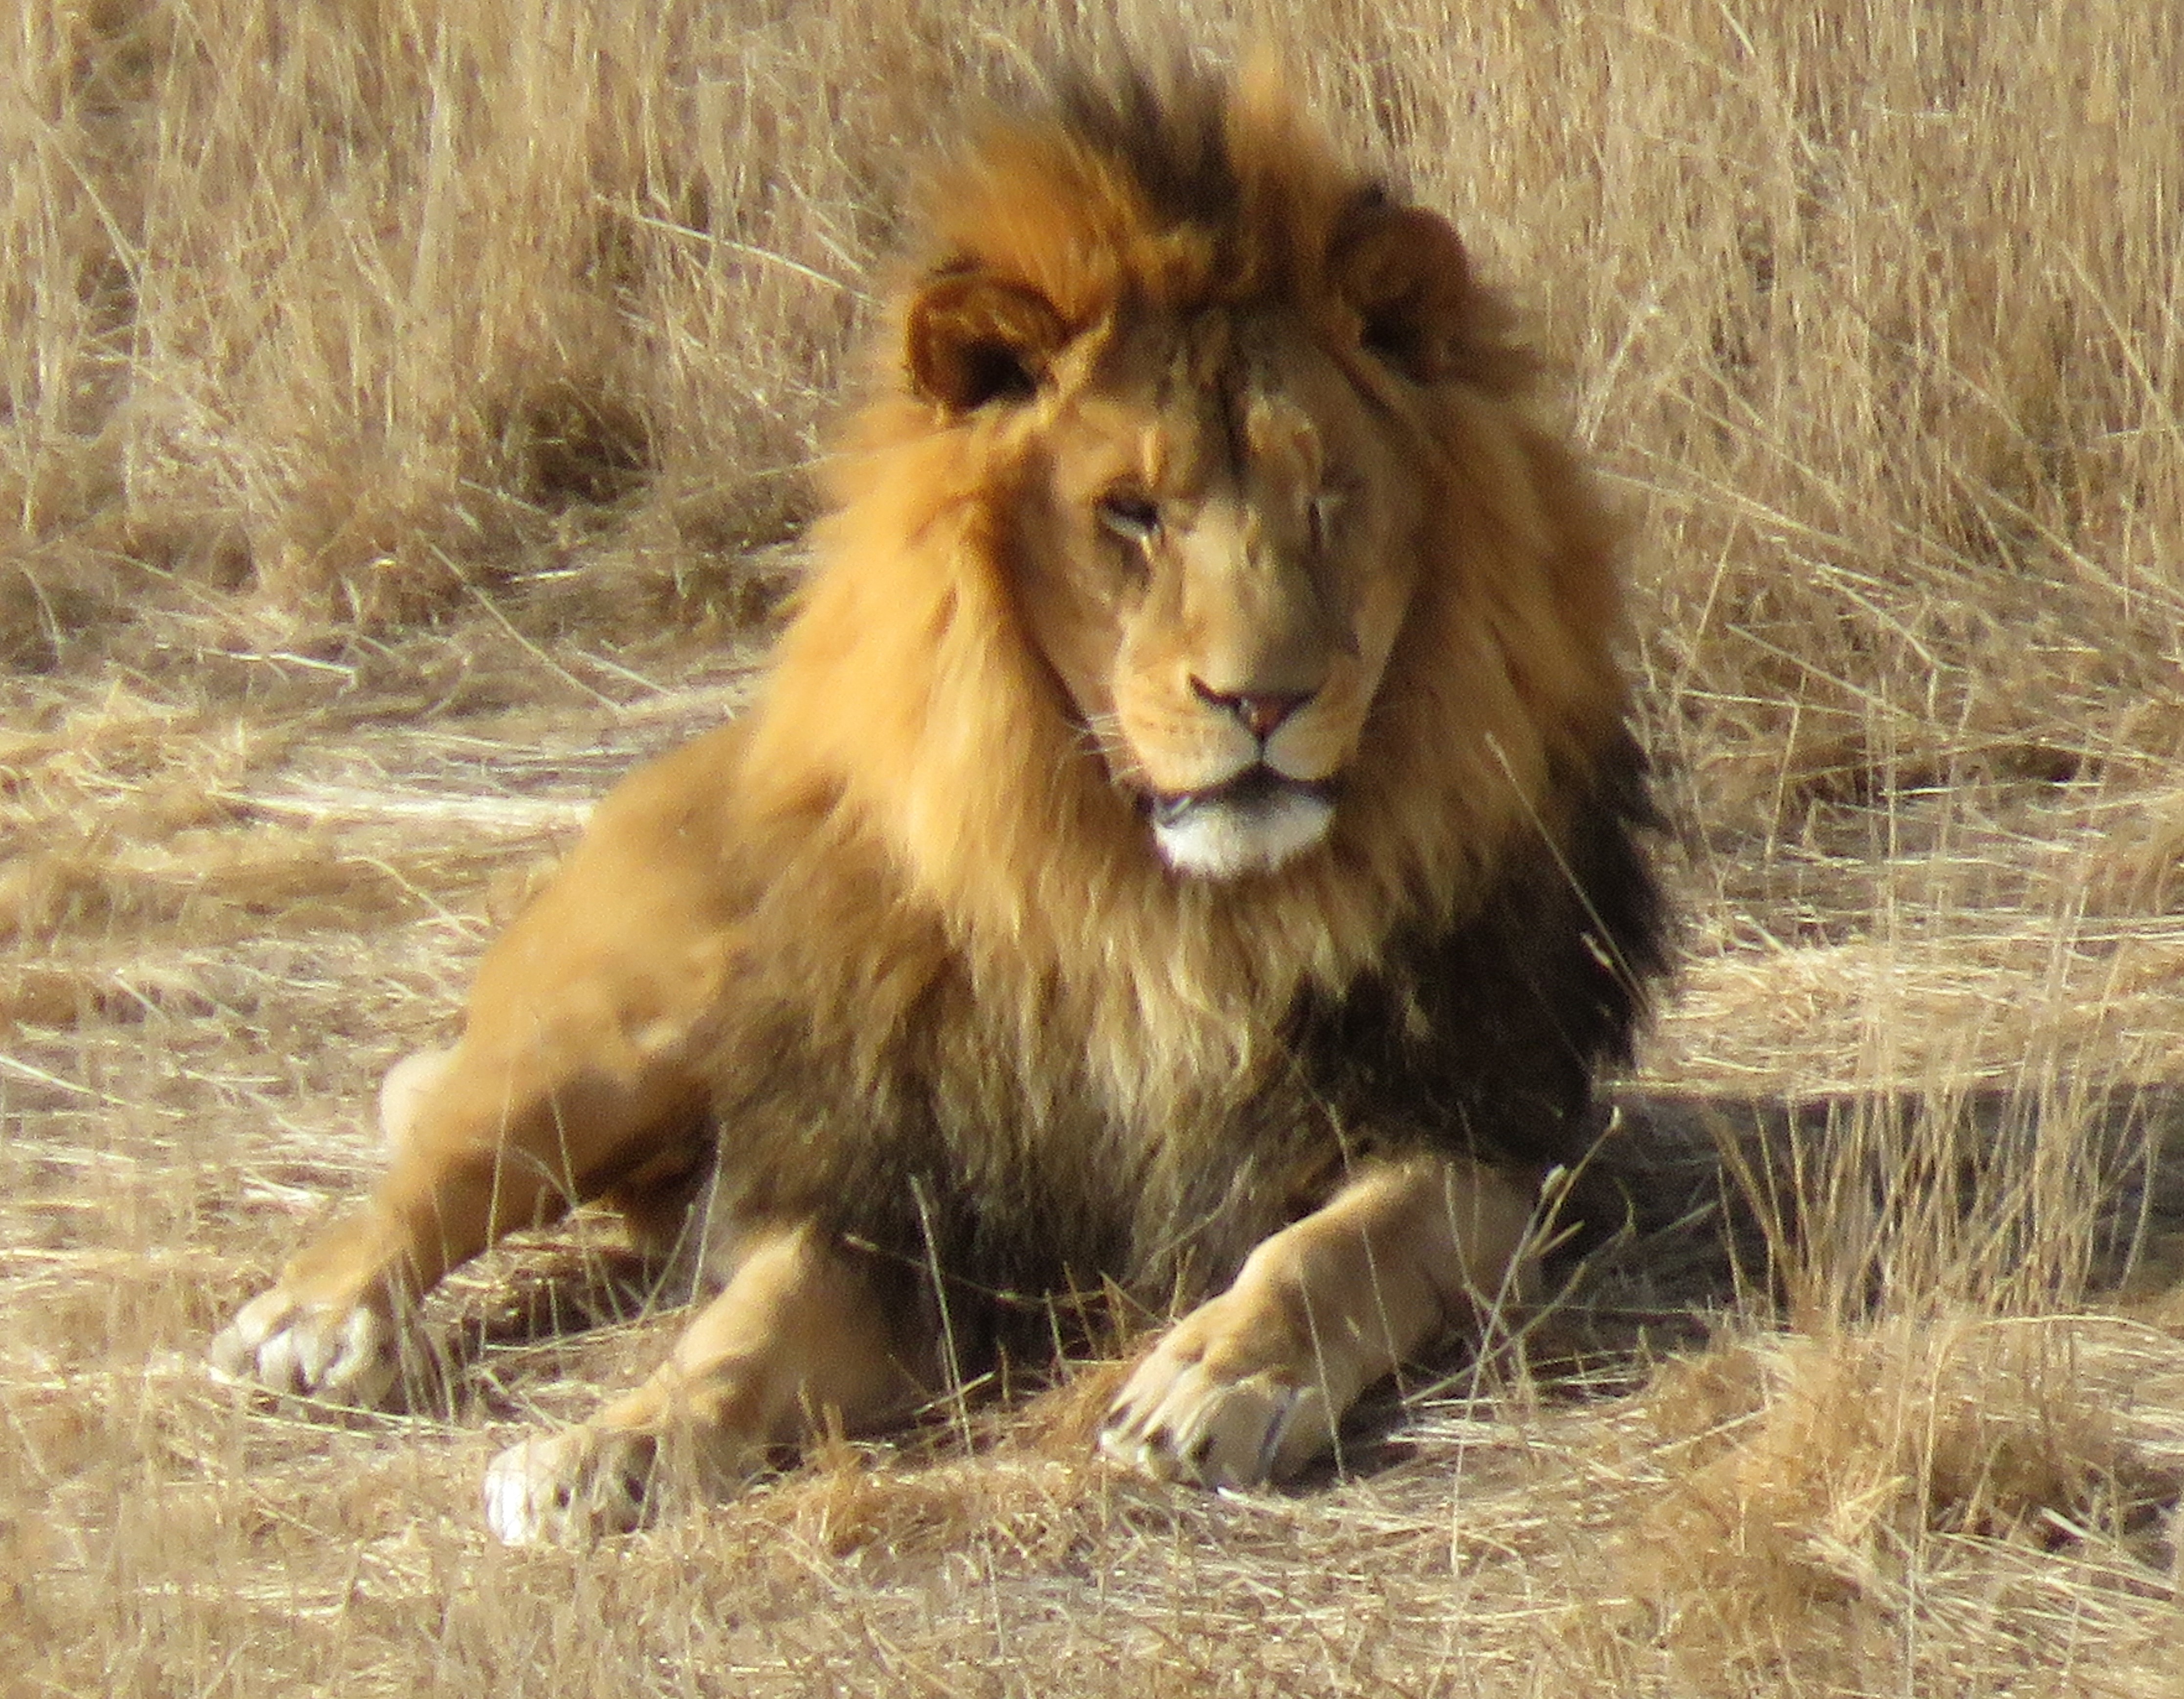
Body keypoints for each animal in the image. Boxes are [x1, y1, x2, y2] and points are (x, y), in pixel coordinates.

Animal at [210, 64, 1667, 1544]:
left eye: (1328, 495)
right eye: (1128, 512)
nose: (1260, 699)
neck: (1161, 912)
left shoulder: (1483, 1135)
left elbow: (1340, 1242)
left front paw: (1212, 1378)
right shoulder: (898, 1189)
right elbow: (738, 1333)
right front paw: (610, 1442)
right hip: (636, 1016)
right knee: (452, 1157)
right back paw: (311, 1319)